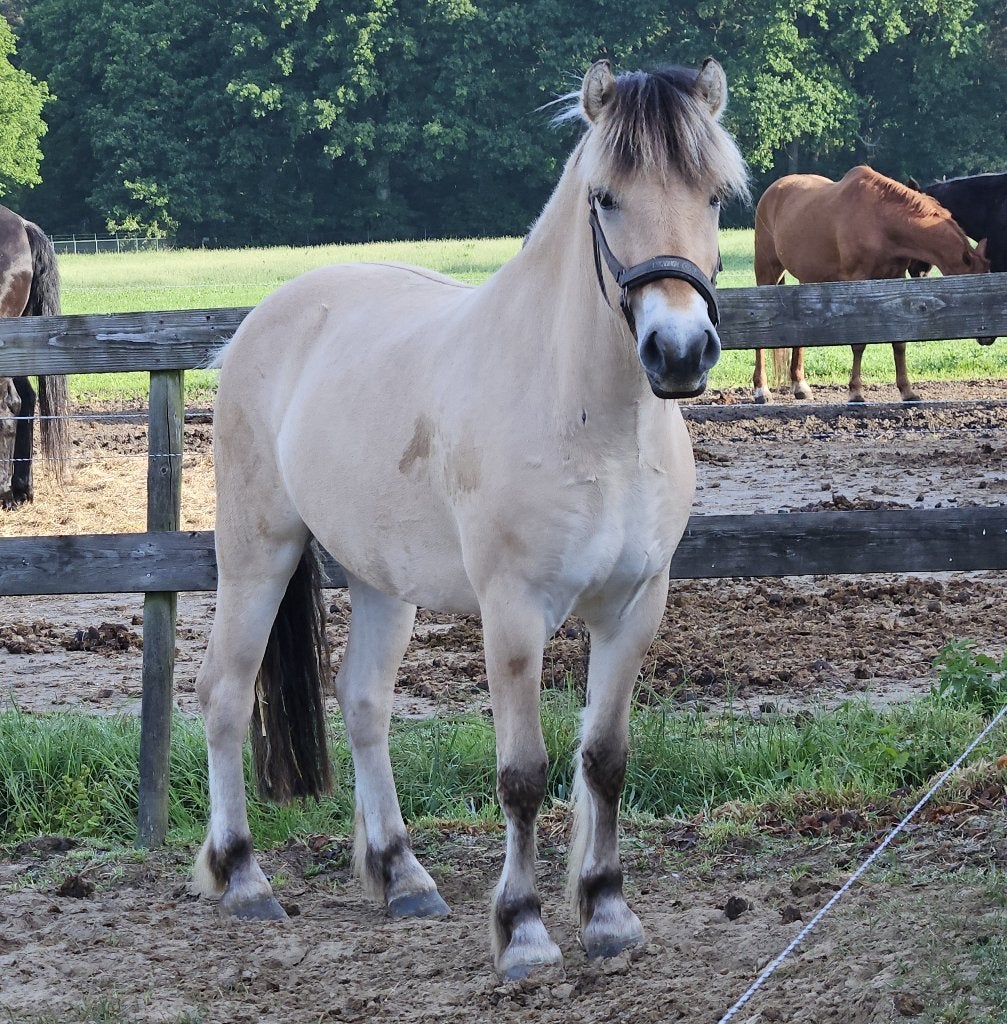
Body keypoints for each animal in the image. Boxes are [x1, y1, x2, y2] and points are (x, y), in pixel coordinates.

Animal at [191, 58, 749, 979]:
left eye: (713, 195)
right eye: (604, 197)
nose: (677, 352)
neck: (594, 422)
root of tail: (261, 323)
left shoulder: (634, 608)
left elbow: (604, 760)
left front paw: (607, 914)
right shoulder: (513, 612)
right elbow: (522, 773)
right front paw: (523, 932)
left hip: (381, 581)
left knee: (364, 702)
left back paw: (402, 875)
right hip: (256, 554)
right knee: (225, 696)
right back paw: (242, 880)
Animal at [752, 165, 990, 404]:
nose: (987, 337)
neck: (881, 221)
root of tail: (772, 191)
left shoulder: (895, 279)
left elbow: (899, 342)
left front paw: (907, 390)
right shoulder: (858, 282)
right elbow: (859, 343)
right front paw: (856, 392)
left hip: (808, 279)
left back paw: (800, 385)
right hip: (767, 273)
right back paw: (761, 389)